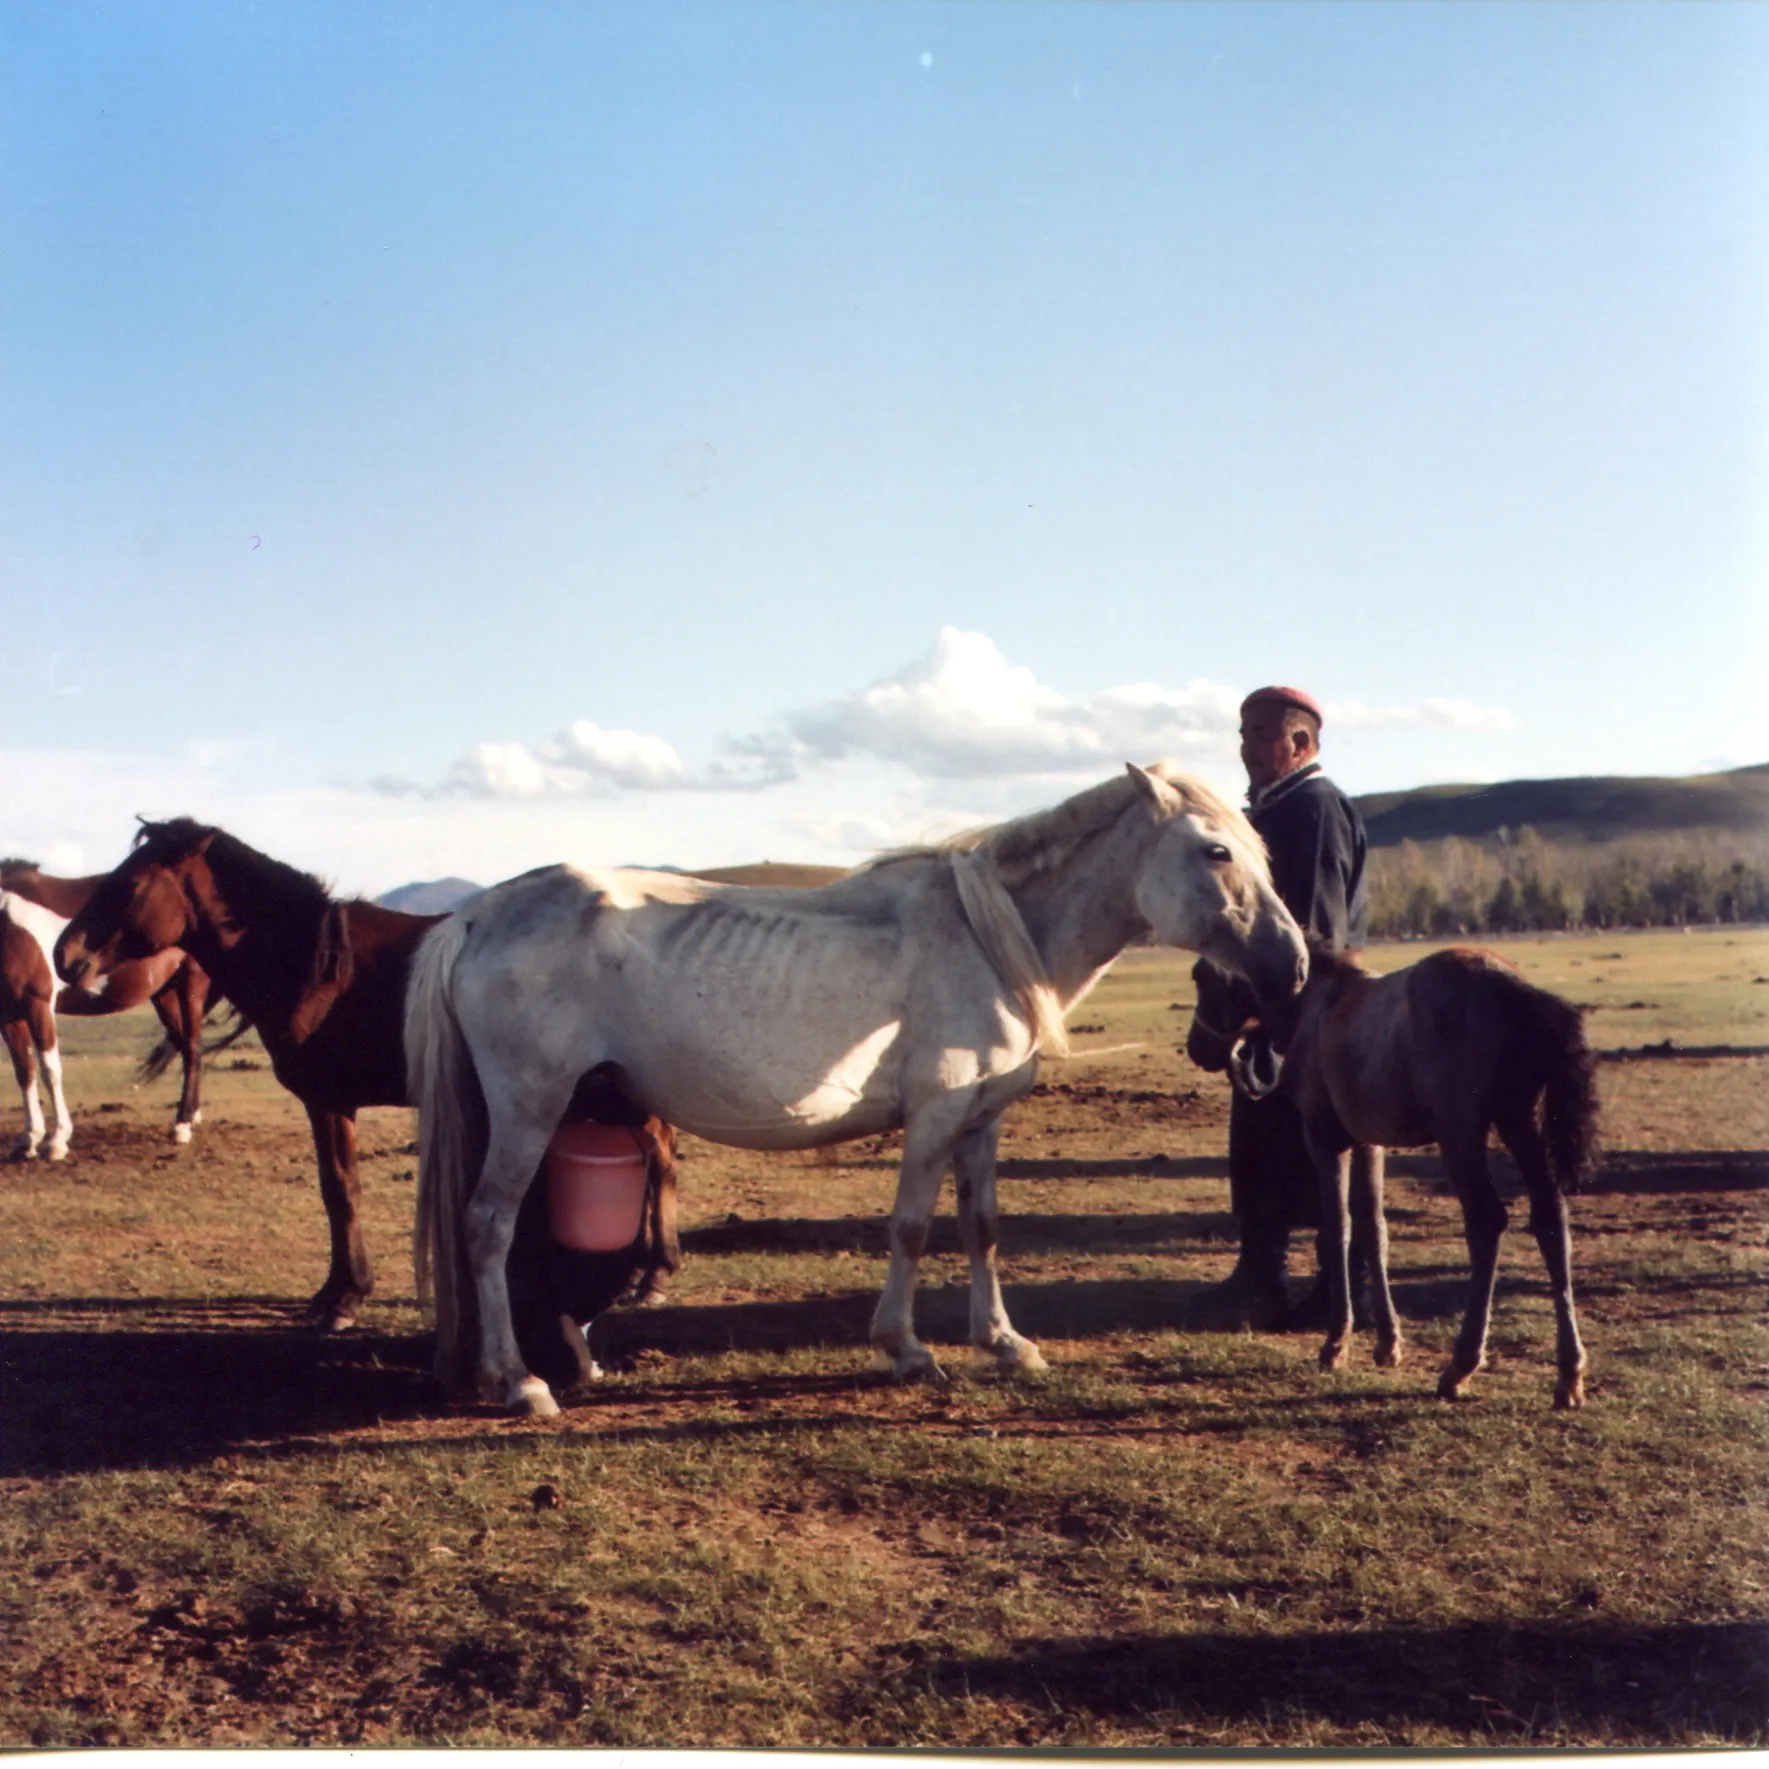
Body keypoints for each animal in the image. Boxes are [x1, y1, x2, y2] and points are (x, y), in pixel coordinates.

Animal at [1, 861, 234, 1147]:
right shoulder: (9, 1016)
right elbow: (24, 1071)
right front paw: (29, 1136)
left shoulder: (38, 1005)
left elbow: (49, 1070)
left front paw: (57, 1139)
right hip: (164, 994)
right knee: (185, 1045)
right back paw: (191, 1115)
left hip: (191, 986)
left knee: (192, 1047)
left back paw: (181, 1125)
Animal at [404, 761, 1310, 1417]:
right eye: (1216, 851)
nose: (1294, 965)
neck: (991, 937)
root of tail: (478, 913)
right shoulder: (935, 1115)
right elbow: (910, 1228)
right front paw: (905, 1349)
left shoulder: (980, 1121)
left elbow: (981, 1227)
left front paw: (1005, 1343)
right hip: (529, 1105)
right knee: (487, 1225)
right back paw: (519, 1381)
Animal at [1188, 945, 1600, 1408]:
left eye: (1201, 975)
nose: (1197, 1047)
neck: (1313, 1004)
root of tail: (1512, 987)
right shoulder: (1368, 1142)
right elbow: (1373, 1228)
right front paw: (1387, 1343)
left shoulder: (1325, 1137)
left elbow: (1338, 1227)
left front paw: (1336, 1344)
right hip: (1519, 1123)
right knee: (1550, 1218)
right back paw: (1568, 1375)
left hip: (1461, 1134)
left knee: (1486, 1222)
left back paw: (1461, 1366)